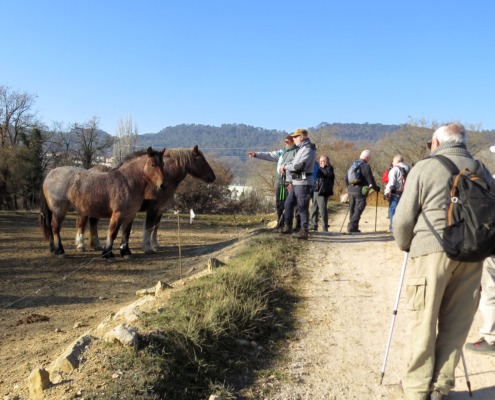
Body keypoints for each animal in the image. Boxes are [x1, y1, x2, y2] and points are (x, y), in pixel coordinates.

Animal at [81, 145, 216, 258]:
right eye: (201, 160)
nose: (213, 177)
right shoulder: (153, 208)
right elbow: (149, 226)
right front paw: (147, 247)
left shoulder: (160, 209)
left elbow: (155, 226)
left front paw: (155, 244)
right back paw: (82, 245)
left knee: (92, 222)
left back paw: (95, 245)